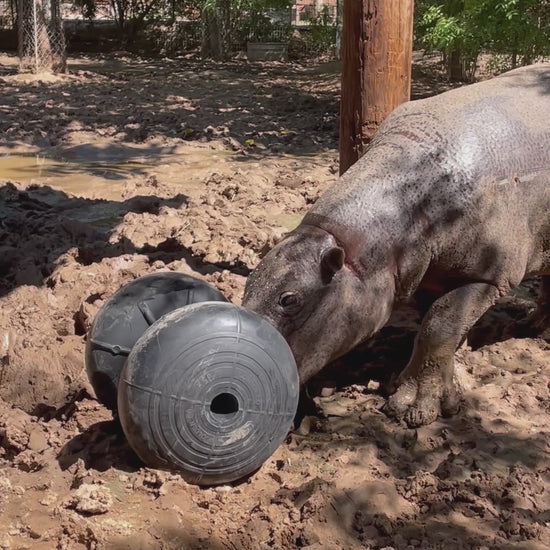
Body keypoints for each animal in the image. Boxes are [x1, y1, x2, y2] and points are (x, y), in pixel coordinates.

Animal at [245, 63, 550, 426]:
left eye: (289, 300)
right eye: (247, 283)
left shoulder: (491, 274)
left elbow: (438, 326)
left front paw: (410, 409)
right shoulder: (430, 271)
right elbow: (440, 325)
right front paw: (455, 376)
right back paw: (527, 328)